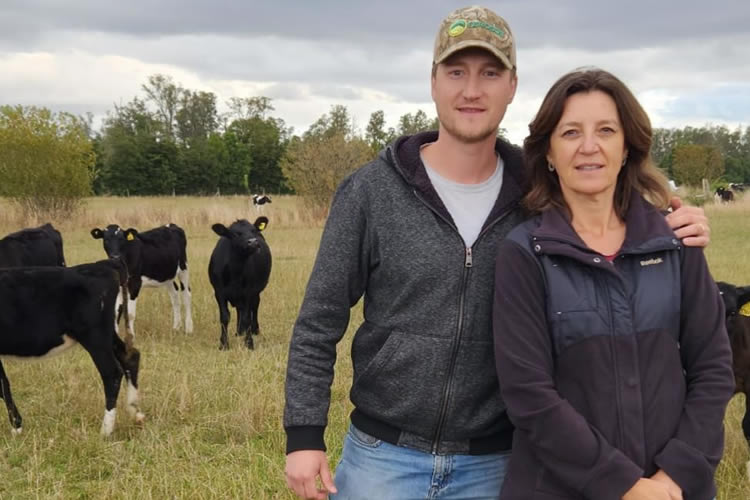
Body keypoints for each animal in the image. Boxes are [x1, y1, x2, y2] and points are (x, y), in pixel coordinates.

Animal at [0, 258, 144, 434]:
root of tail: (103, 264)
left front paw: (16, 428)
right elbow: (3, 385)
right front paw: (17, 427)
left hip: (95, 337)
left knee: (112, 373)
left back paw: (106, 431)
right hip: (108, 334)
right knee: (130, 357)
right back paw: (134, 412)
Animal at [209, 217, 274, 350]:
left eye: (253, 230)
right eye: (235, 234)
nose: (253, 242)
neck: (235, 272)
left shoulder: (248, 292)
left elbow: (247, 317)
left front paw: (249, 343)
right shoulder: (219, 292)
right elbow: (224, 317)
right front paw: (224, 344)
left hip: (256, 292)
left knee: (254, 307)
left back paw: (253, 330)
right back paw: (239, 332)